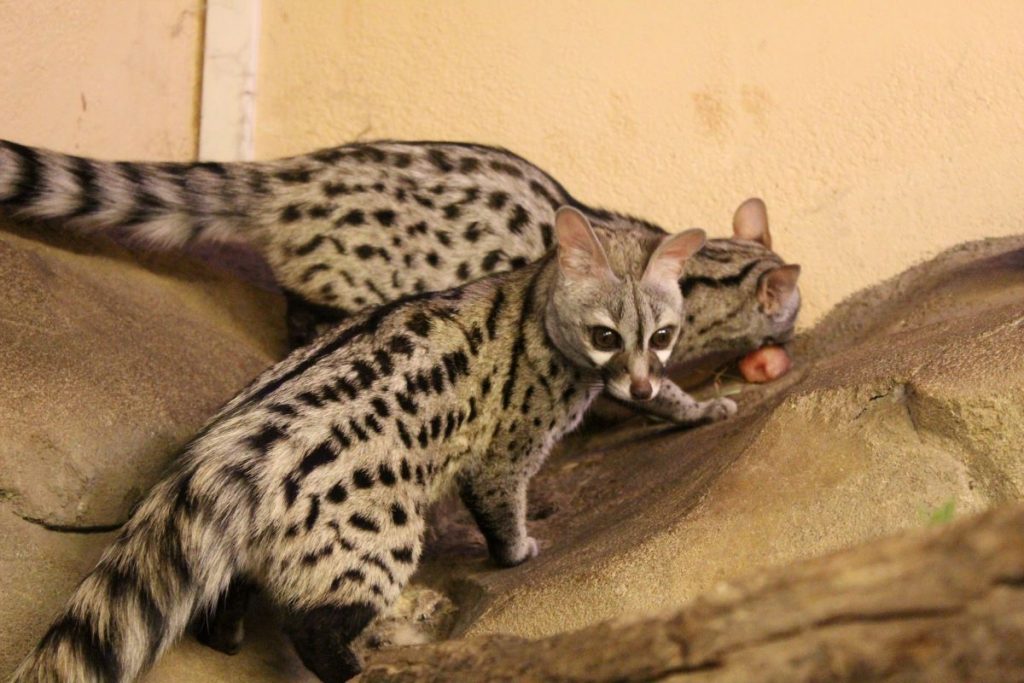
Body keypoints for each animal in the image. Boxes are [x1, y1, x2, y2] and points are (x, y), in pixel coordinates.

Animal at [0, 139, 801, 425]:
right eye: (792, 310)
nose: (792, 333)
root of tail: (291, 175)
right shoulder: (608, 348)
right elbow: (647, 389)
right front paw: (702, 403)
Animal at [13, 207, 705, 682]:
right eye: (606, 335)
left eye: (663, 335)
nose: (640, 384)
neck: (535, 296)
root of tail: (226, 450)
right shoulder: (506, 452)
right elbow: (500, 505)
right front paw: (520, 550)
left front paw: (696, 407)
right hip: (374, 536)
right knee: (313, 626)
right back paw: (350, 668)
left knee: (225, 588)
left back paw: (229, 635)